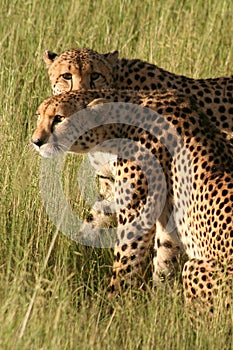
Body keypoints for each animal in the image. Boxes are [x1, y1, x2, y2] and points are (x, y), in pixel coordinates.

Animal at [31, 89, 233, 308]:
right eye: (39, 116)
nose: (36, 141)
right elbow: (163, 256)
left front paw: (112, 304)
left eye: (59, 118)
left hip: (196, 268)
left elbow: (126, 262)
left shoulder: (137, 213)